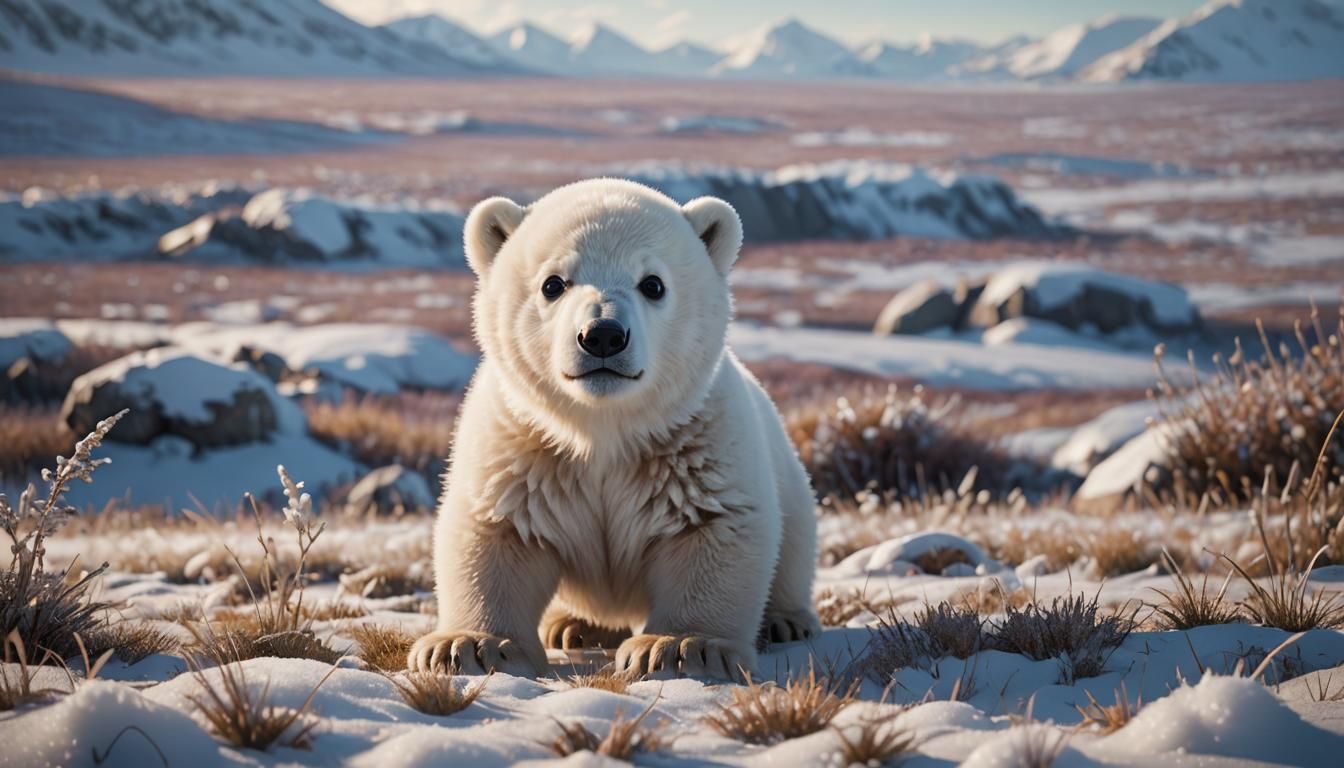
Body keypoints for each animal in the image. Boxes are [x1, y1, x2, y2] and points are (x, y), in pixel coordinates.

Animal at [407, 178, 820, 681]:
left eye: (653, 284)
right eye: (553, 283)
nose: (602, 335)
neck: (603, 430)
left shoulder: (699, 444)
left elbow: (713, 525)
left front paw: (679, 646)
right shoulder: (521, 448)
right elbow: (495, 530)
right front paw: (466, 645)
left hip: (787, 475)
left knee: (795, 541)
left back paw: (785, 620)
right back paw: (571, 626)